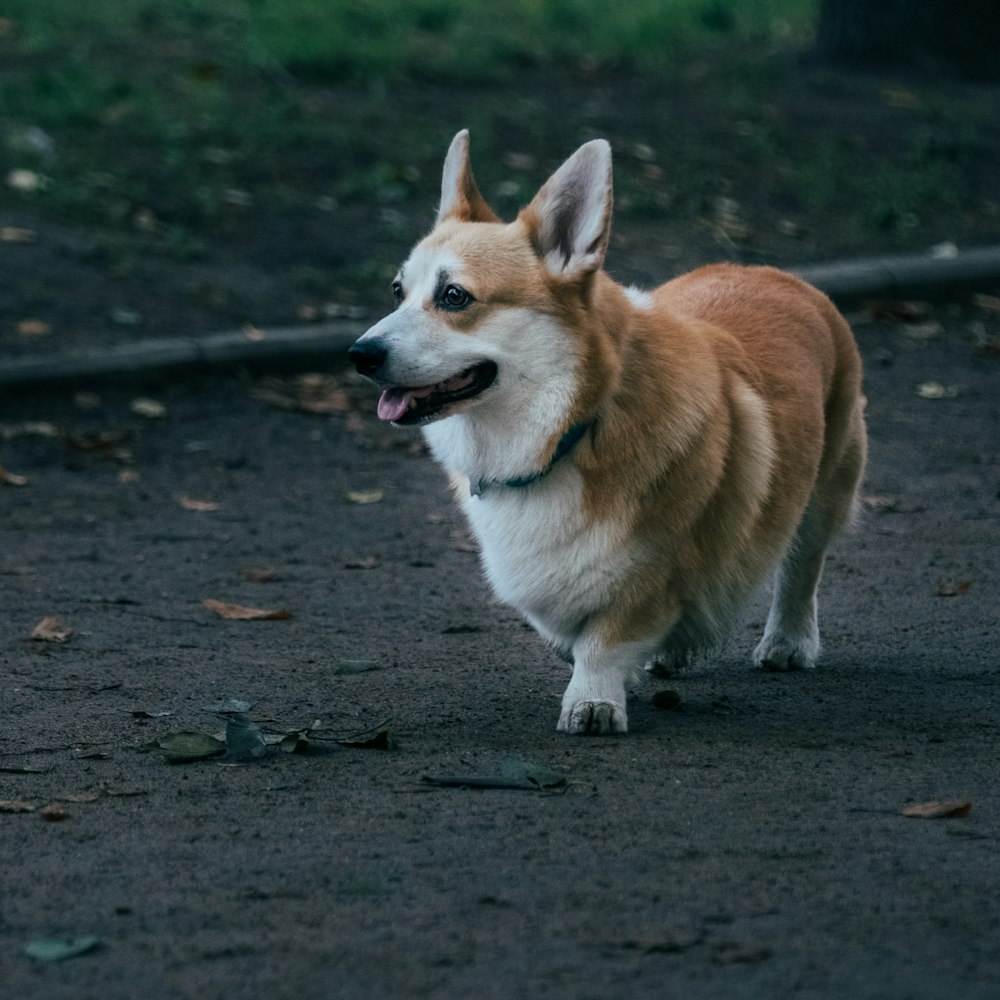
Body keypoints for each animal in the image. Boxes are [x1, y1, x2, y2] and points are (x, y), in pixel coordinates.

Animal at [352, 131, 868, 736]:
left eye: (454, 296)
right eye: (396, 291)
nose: (358, 355)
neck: (568, 431)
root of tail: (774, 273)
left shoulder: (653, 569)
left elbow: (603, 640)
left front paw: (593, 702)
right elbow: (563, 626)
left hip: (825, 489)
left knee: (801, 566)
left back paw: (788, 641)